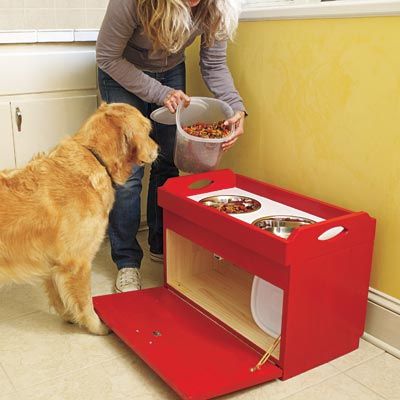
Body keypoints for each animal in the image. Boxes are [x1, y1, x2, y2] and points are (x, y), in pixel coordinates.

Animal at [0, 102, 159, 334]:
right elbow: (85, 302)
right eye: (147, 130)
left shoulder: (54, 263)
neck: (96, 159)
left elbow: (59, 297)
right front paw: (98, 326)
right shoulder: (78, 262)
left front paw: (68, 317)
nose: (158, 148)